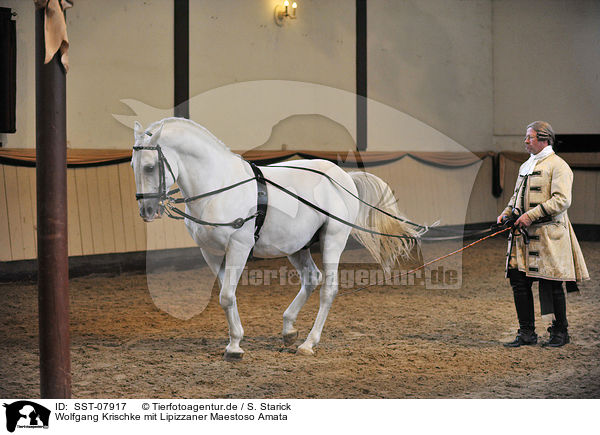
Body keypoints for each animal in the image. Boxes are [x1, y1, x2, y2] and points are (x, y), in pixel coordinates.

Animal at [131, 117, 422, 360]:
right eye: (133, 165)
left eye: (150, 167)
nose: (146, 211)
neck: (219, 186)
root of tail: (344, 178)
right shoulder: (211, 252)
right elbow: (227, 295)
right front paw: (235, 340)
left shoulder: (239, 246)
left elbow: (226, 295)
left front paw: (234, 347)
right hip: (297, 246)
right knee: (311, 278)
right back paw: (288, 330)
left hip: (333, 239)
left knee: (328, 288)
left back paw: (308, 343)